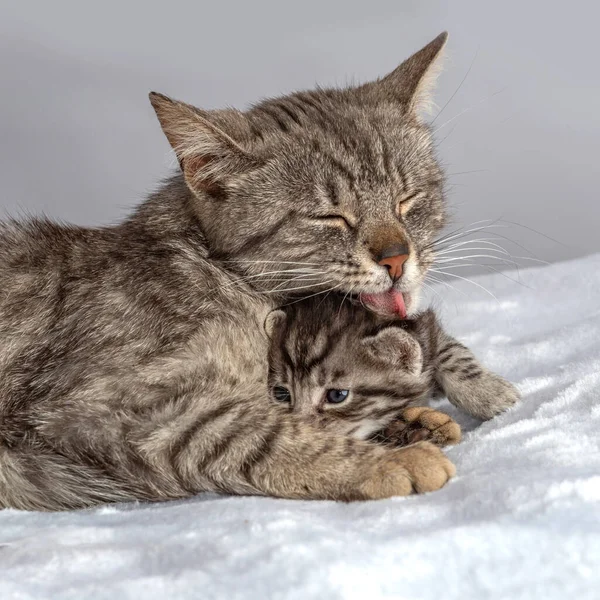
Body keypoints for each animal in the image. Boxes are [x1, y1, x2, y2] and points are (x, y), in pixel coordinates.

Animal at [0, 34, 512, 510]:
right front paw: (388, 459)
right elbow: (256, 433)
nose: (397, 257)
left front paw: (449, 400)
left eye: (408, 200)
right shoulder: (98, 409)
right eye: (330, 217)